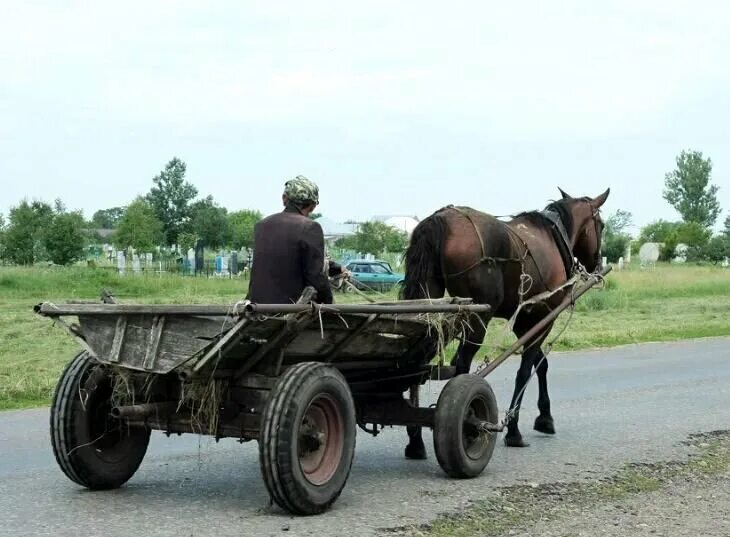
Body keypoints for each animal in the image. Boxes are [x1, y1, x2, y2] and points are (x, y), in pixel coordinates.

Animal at [400, 186, 604, 454]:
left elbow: (541, 365)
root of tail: (441, 219)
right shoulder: (543, 317)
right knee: (461, 365)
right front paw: (514, 430)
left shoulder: (524, 321)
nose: (598, 262)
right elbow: (526, 370)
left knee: (419, 359)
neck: (552, 237)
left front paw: (545, 417)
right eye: (601, 225)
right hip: (477, 318)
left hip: (429, 305)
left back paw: (415, 440)